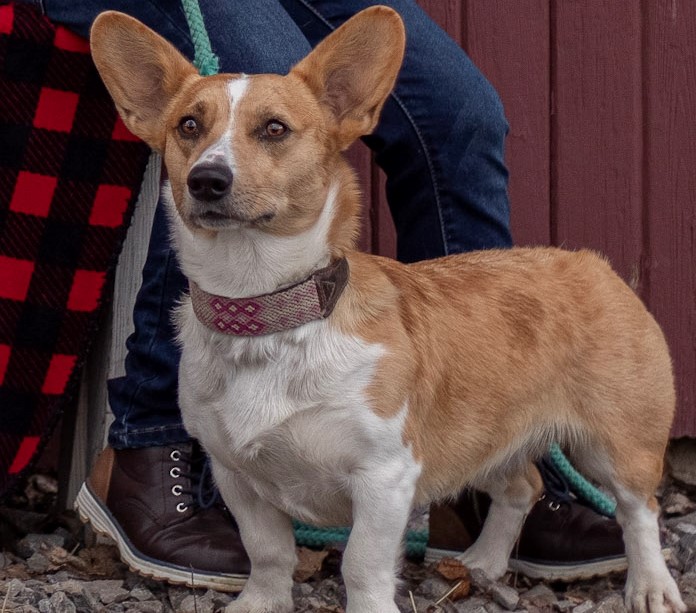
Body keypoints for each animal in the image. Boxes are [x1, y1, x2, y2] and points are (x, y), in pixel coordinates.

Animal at [89, 5, 684, 612]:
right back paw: (484, 562)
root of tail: (593, 264)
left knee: (640, 511)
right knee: (523, 487)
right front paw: (260, 603)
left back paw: (650, 586)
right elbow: (268, 552)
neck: (269, 311)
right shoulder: (237, 477)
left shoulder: (384, 477)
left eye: (274, 128)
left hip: (616, 442)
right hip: (481, 437)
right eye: (188, 126)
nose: (206, 180)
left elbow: (361, 564)